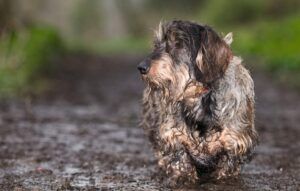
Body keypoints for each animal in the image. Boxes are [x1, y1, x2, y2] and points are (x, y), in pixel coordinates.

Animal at [138, 20, 258, 185]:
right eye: (156, 45)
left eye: (178, 43)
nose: (141, 67)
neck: (198, 98)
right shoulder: (173, 138)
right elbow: (180, 162)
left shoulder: (235, 143)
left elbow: (227, 168)